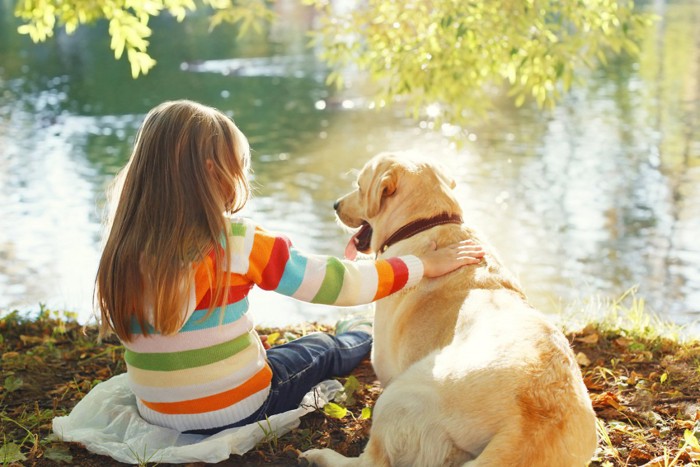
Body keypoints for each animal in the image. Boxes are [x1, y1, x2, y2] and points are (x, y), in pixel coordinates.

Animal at [300, 154, 596, 467]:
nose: (335, 205)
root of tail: (528, 427)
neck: (427, 223)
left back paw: (321, 455)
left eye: (359, 186)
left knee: (372, 461)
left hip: (400, 393)